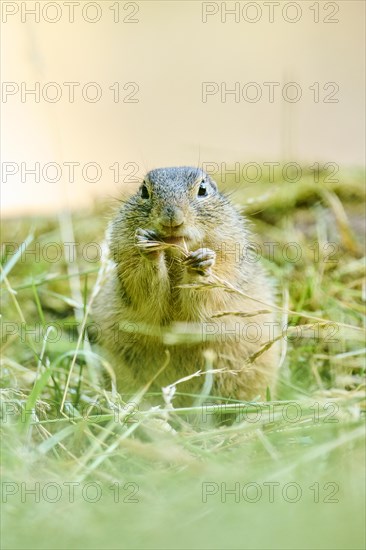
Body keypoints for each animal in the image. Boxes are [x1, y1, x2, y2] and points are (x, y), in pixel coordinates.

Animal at [93, 168, 278, 410]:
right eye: (144, 191)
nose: (172, 216)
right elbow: (145, 293)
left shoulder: (227, 263)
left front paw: (202, 261)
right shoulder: (127, 264)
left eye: (203, 189)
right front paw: (149, 246)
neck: (174, 255)